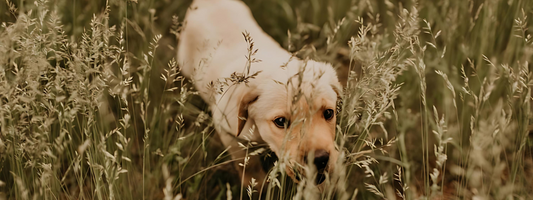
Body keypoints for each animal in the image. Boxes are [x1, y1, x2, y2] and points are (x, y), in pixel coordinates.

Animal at [177, 0, 338, 188]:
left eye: (329, 113)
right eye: (280, 122)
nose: (320, 159)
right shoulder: (229, 133)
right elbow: (248, 165)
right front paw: (257, 185)